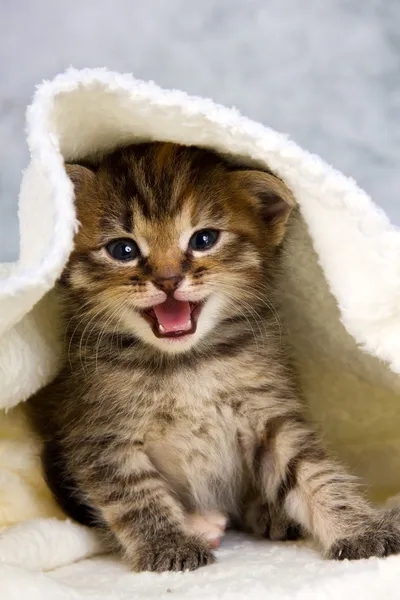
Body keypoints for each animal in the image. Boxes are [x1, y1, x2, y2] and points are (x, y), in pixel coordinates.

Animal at [27, 142, 400, 572]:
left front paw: (359, 528)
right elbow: (133, 493)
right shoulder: (99, 435)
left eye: (204, 239)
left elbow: (312, 471)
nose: (168, 280)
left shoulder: (267, 415)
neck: (187, 363)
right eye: (123, 249)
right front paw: (168, 543)